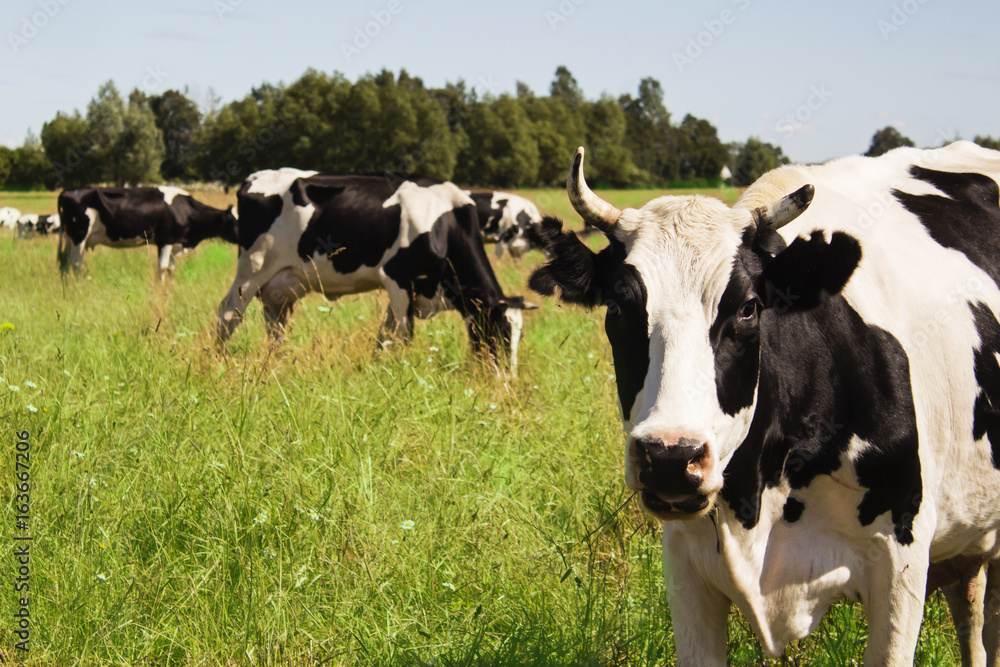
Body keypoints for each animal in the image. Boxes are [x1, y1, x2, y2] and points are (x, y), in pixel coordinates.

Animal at [56, 185, 238, 280]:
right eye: (236, 221)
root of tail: (68, 191)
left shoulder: (173, 243)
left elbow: (171, 268)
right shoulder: (165, 240)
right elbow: (162, 267)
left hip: (70, 238)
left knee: (65, 263)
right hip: (79, 236)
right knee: (76, 264)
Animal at [216, 167, 536, 366]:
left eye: (519, 336)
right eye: (501, 332)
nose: (506, 379)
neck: (445, 224)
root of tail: (255, 177)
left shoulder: (410, 289)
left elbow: (385, 335)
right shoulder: (398, 278)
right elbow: (403, 336)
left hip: (284, 285)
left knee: (275, 326)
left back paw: (277, 362)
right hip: (252, 269)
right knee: (228, 314)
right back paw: (218, 360)